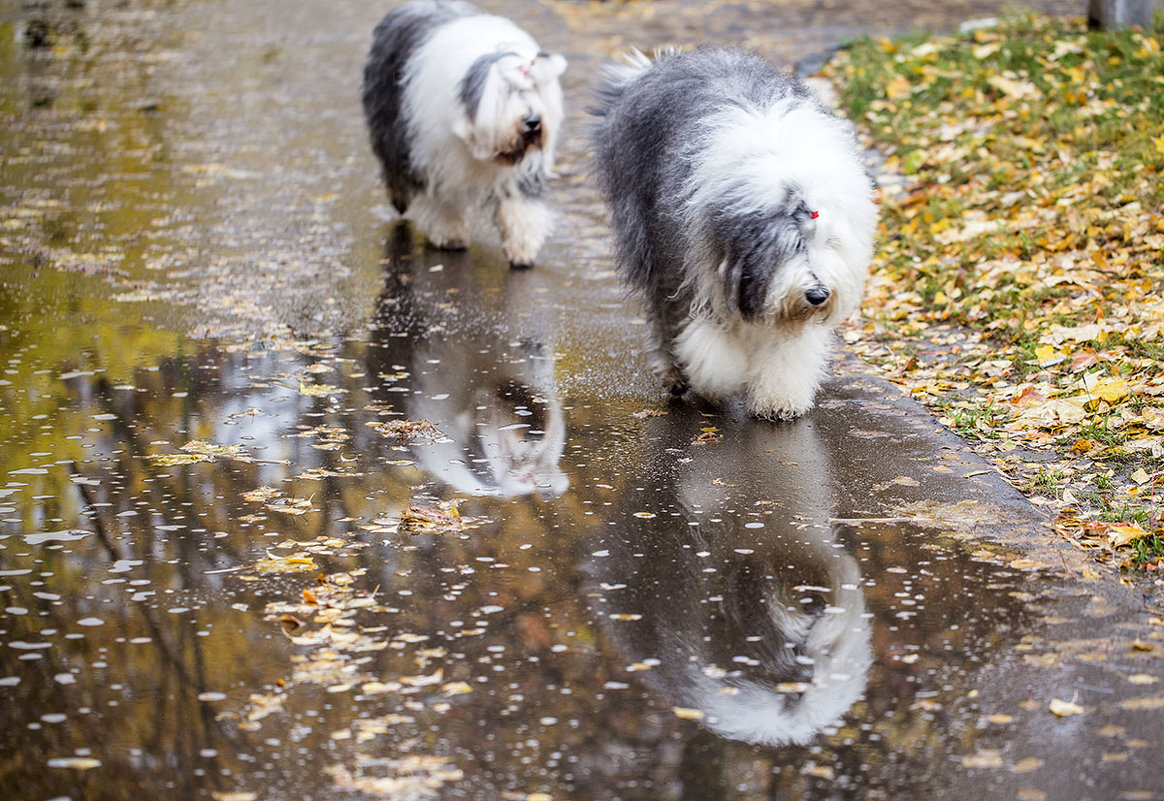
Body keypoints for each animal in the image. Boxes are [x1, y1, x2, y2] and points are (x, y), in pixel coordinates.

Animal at [360, 0, 565, 268]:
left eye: (533, 88)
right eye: (506, 90)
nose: (532, 121)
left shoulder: (520, 172)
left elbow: (519, 206)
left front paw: (522, 249)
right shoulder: (434, 156)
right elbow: (442, 200)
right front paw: (450, 236)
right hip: (390, 121)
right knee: (393, 166)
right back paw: (400, 199)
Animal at [591, 46, 875, 419]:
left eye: (828, 242)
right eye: (791, 245)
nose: (818, 295)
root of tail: (652, 67)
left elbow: (785, 351)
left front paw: (778, 400)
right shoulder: (700, 264)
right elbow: (713, 341)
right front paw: (716, 381)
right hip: (651, 243)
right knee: (664, 312)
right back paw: (674, 374)